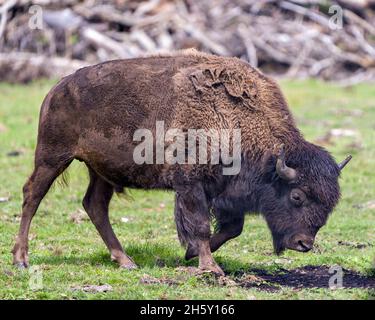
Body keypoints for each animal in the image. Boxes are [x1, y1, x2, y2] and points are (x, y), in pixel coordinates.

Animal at [12, 49, 352, 276]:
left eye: (330, 203)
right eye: (297, 196)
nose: (303, 243)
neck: (235, 120)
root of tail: (58, 87)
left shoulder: (223, 193)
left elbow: (232, 228)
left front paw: (189, 254)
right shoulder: (191, 186)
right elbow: (199, 225)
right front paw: (210, 268)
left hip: (101, 172)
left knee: (95, 205)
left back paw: (126, 261)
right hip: (53, 157)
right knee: (32, 195)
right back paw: (21, 259)